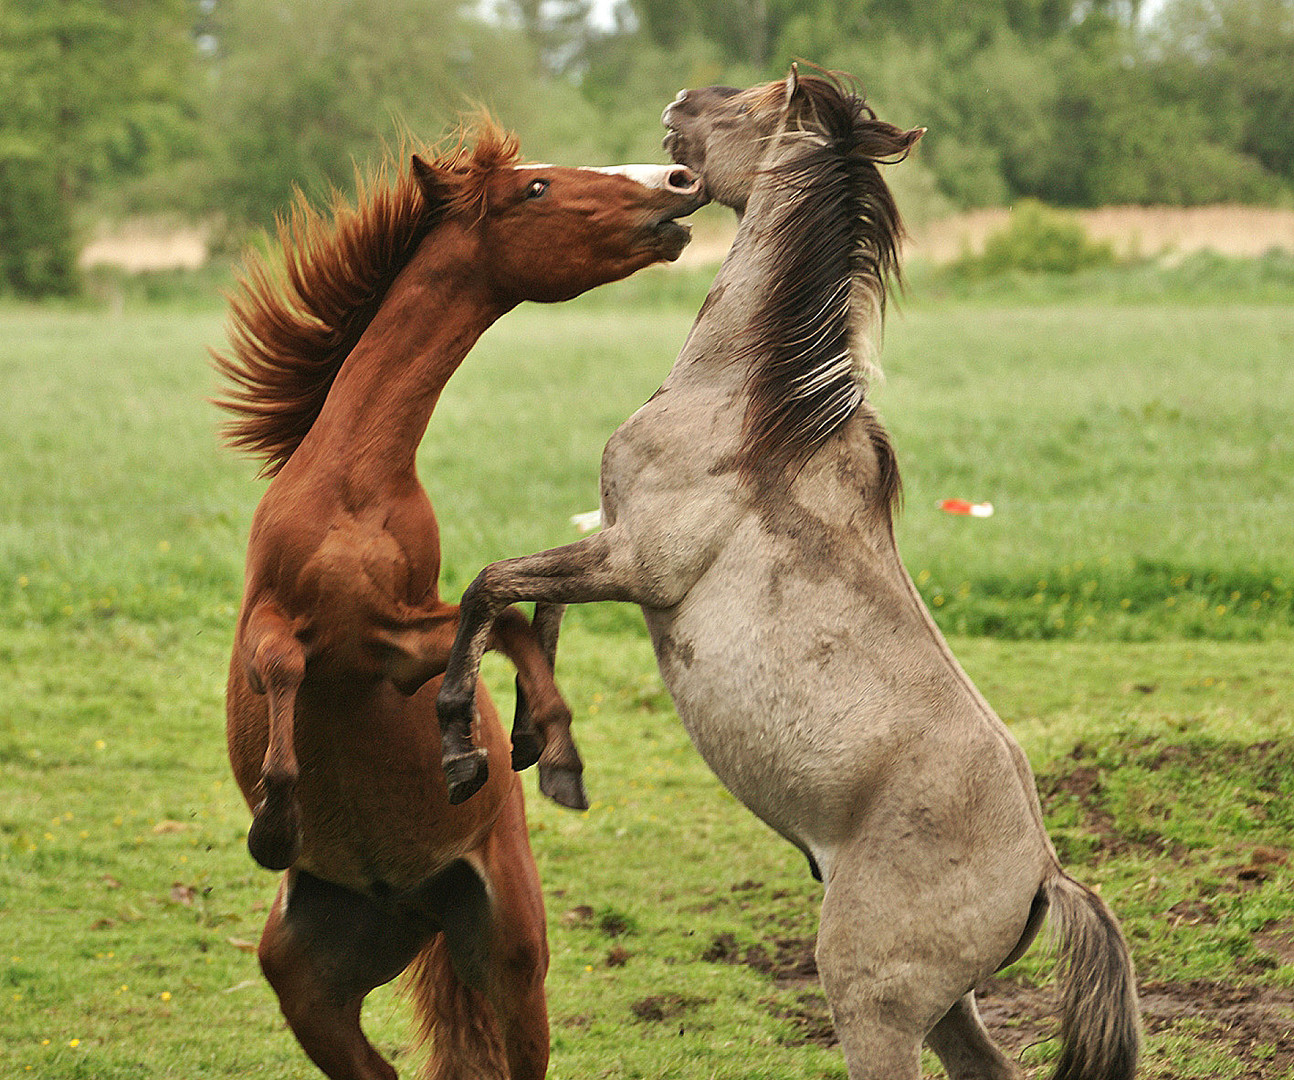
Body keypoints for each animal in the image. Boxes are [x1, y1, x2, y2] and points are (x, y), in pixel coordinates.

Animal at [214, 118, 698, 1080]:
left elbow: (502, 623)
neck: (356, 485)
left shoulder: (391, 648)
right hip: (310, 989)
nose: (678, 182)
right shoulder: (280, 626)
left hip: (510, 955)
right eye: (537, 187)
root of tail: (409, 902)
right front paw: (276, 824)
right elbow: (282, 670)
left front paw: (525, 748)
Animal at [437, 69, 1143, 1080]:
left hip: (873, 1005)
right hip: (947, 1010)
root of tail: (1047, 879)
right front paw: (545, 749)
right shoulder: (612, 547)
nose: (680, 103)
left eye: (758, 99)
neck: (746, 409)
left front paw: (467, 749)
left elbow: (492, 587)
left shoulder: (636, 561)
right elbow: (534, 611)